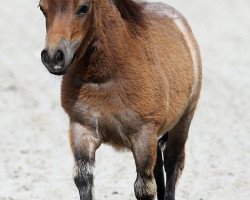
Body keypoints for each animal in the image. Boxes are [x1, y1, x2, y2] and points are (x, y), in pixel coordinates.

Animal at [40, 0, 202, 199]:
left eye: (84, 7)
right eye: (42, 8)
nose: (53, 57)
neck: (107, 76)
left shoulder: (143, 134)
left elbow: (144, 188)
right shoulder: (81, 128)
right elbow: (83, 179)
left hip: (183, 121)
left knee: (173, 163)